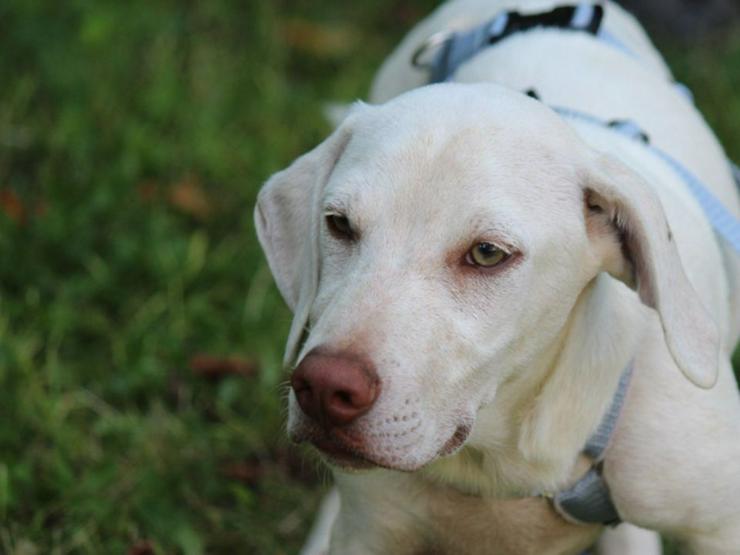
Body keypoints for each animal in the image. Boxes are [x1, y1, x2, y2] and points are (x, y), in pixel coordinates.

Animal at [256, 2, 740, 552]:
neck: (499, 459)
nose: (322, 387)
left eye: (487, 254)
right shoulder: (372, 533)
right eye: (338, 224)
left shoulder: (720, 527)